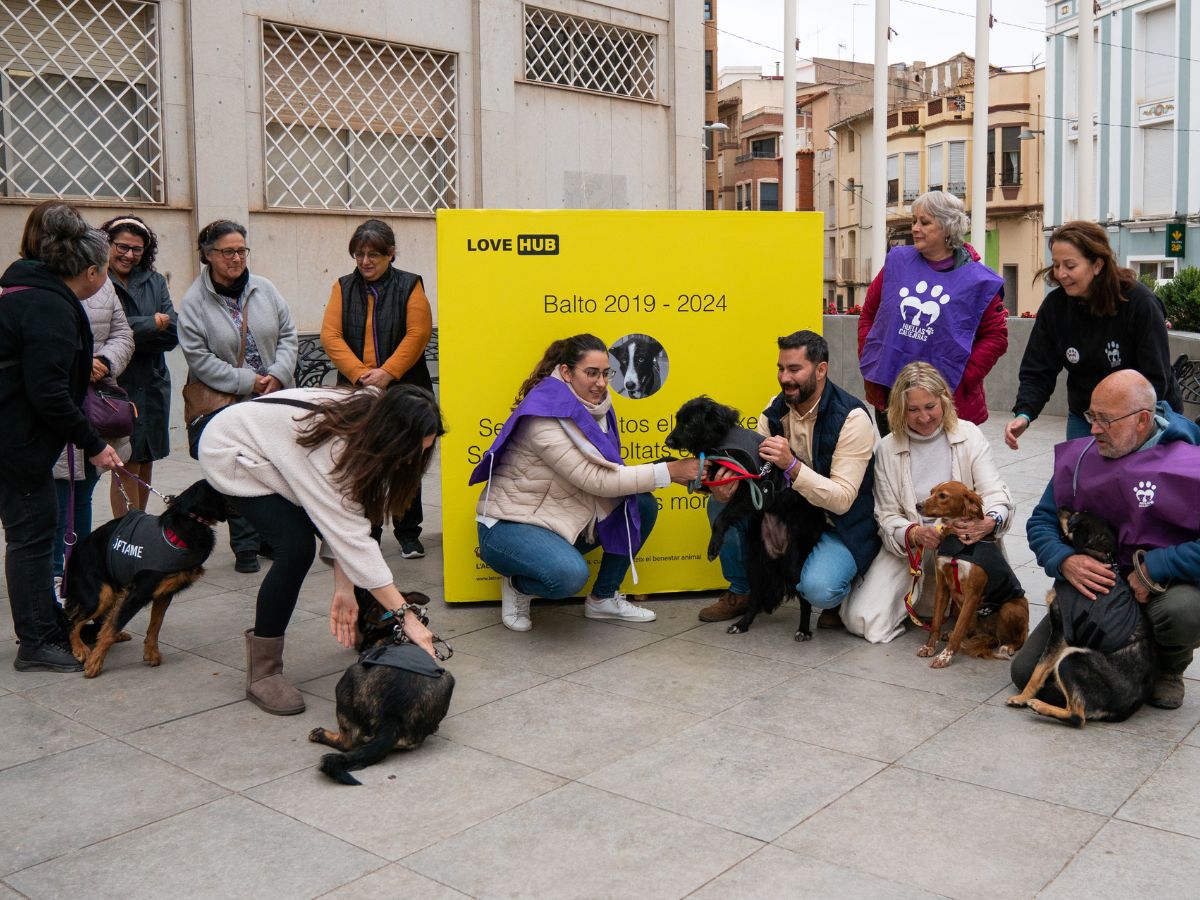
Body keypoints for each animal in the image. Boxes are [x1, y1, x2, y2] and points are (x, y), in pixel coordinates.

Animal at [309, 588, 453, 787]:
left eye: (363, 595)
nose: (356, 587)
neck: (394, 629)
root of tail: (393, 718)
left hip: (348, 678)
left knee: (348, 742)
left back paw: (321, 734)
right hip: (448, 679)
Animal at [1008, 511, 1156, 729]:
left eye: (1073, 518)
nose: (1061, 507)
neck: (1096, 554)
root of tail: (1124, 709)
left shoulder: (1061, 633)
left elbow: (1038, 669)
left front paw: (1021, 697)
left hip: (1071, 657)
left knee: (1078, 716)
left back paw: (1039, 705)